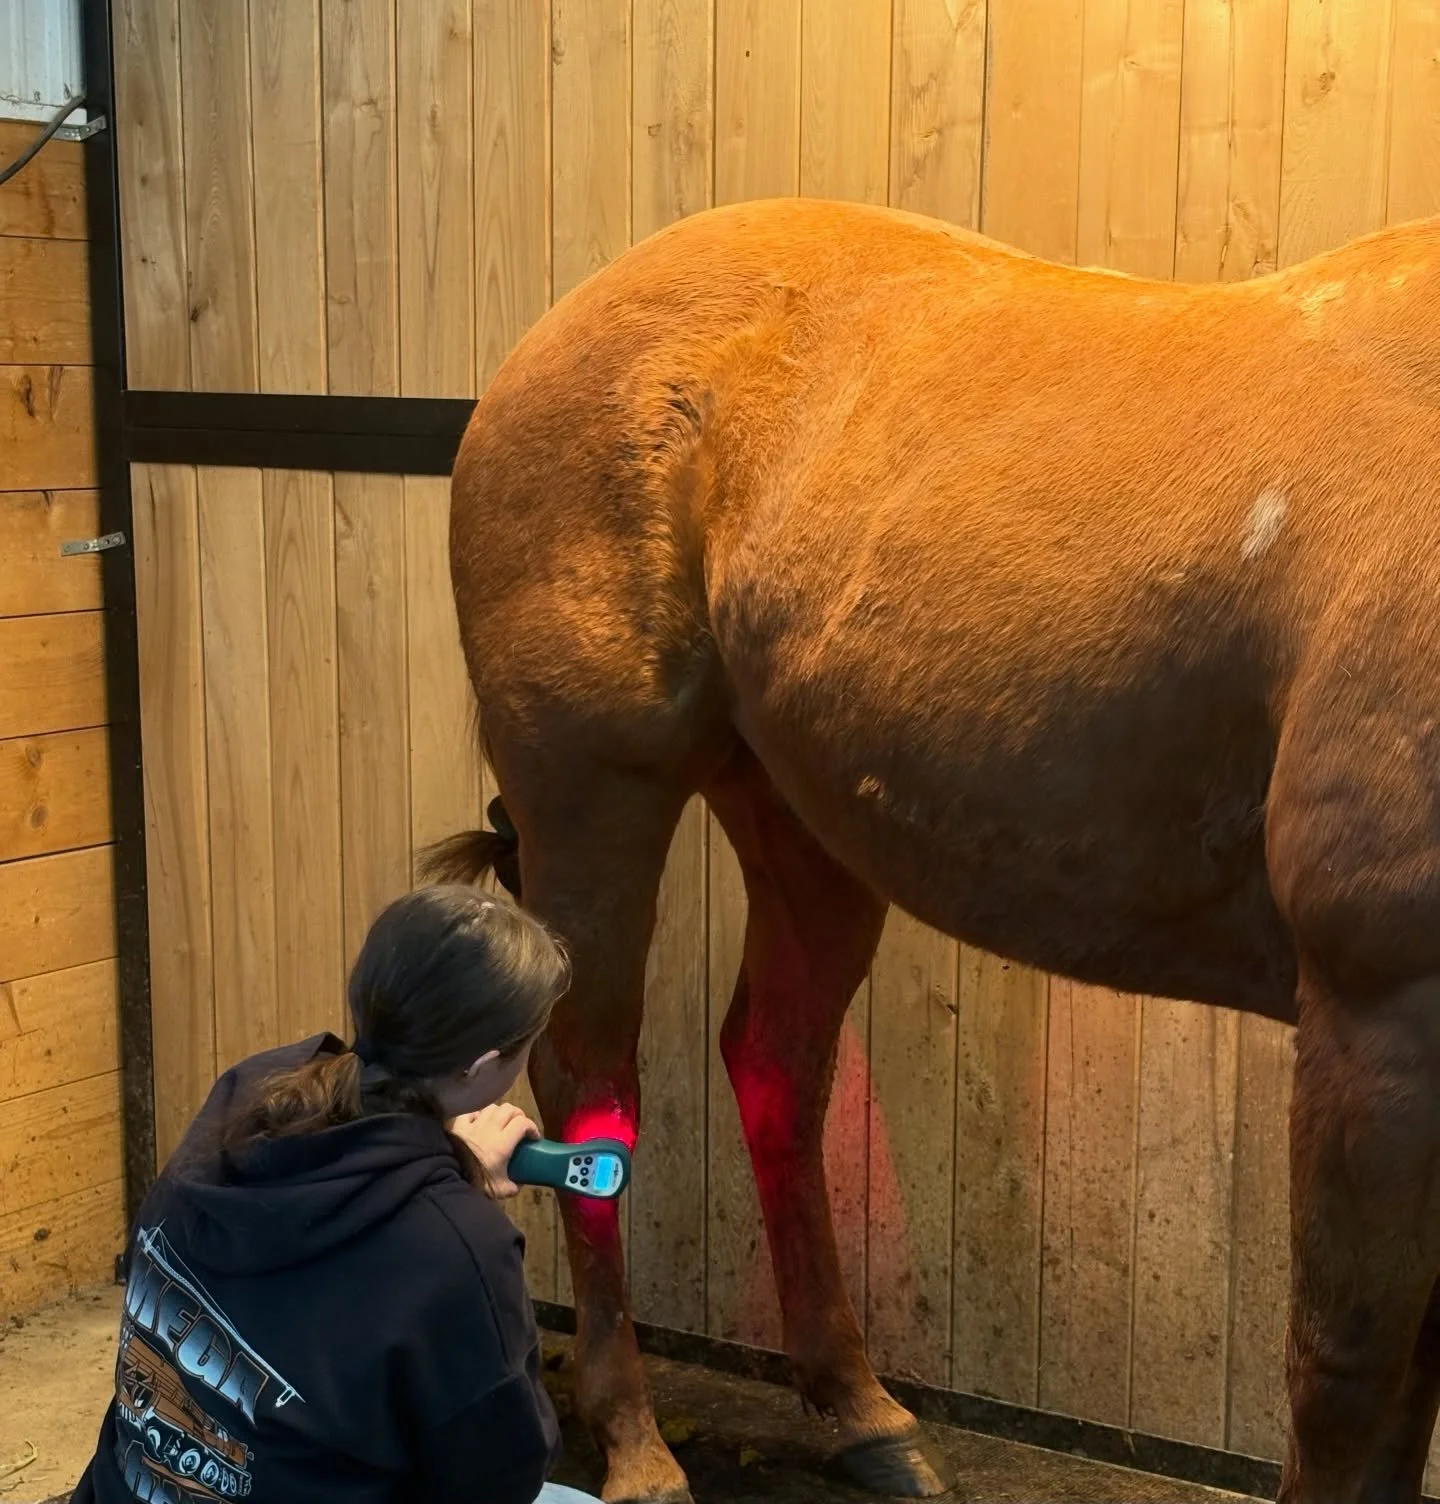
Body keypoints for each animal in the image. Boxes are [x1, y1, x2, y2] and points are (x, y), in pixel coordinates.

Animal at [423, 196, 1440, 1504]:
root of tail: (547, 341)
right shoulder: (1380, 1016)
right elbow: (1350, 1376)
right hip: (593, 798)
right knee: (591, 1086)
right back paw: (638, 1443)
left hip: (801, 823)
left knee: (777, 1064)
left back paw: (861, 1411)